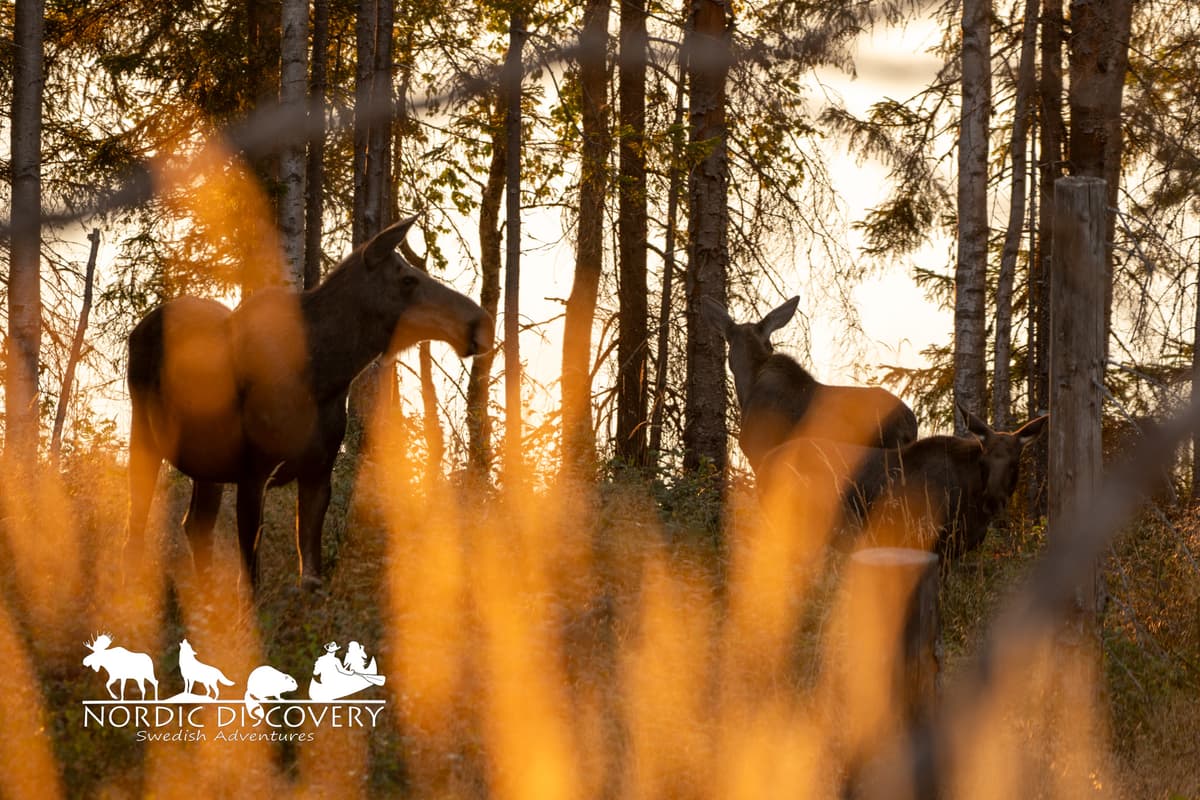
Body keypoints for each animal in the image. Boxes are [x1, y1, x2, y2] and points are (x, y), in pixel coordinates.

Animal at [126, 215, 494, 590]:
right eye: (407, 278)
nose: (482, 323)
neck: (324, 378)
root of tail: (136, 331)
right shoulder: (254, 472)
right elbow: (252, 577)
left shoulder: (318, 472)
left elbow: (311, 577)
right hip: (144, 436)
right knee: (138, 521)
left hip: (208, 463)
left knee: (196, 525)